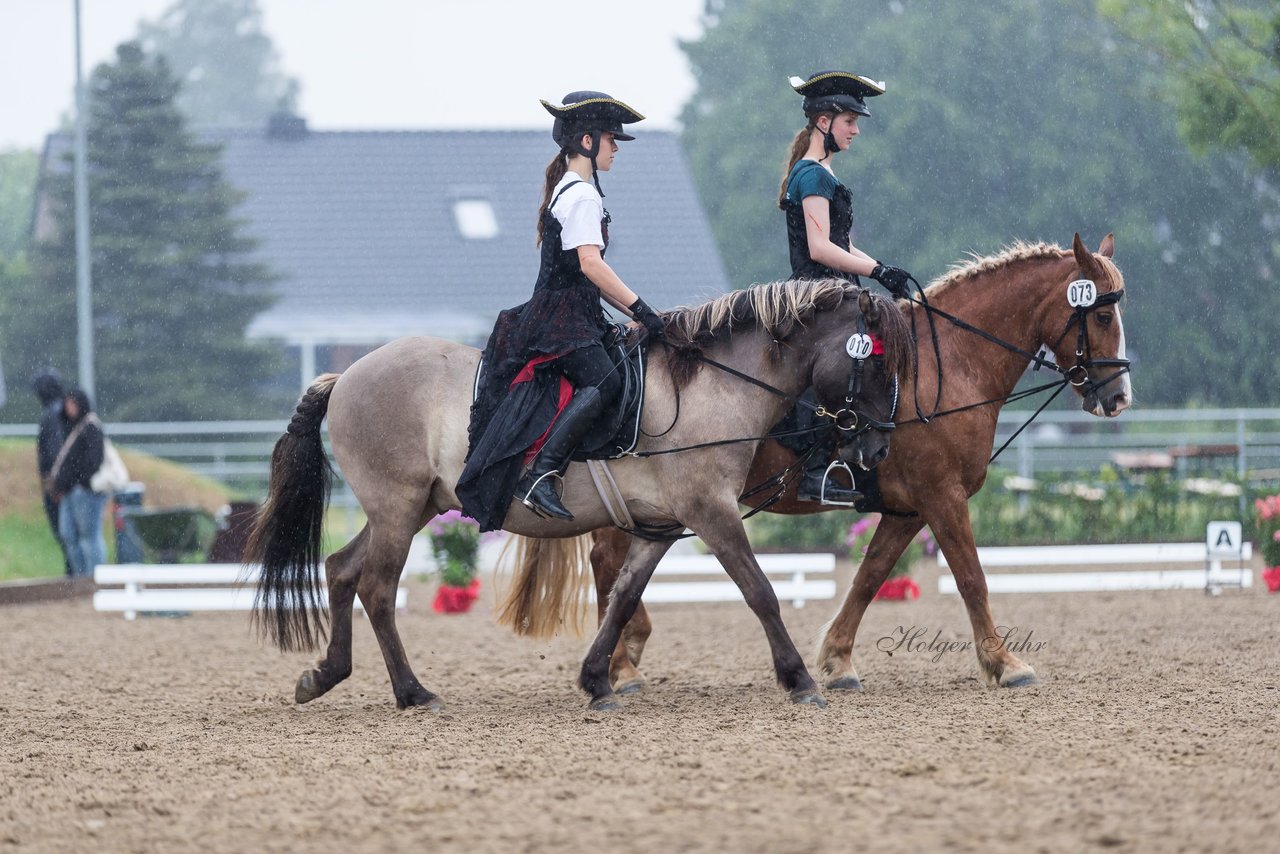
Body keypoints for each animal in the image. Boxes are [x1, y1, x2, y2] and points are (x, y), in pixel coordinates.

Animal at [247, 284, 911, 711]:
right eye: (878, 367)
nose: (878, 448)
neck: (716, 386)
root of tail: (346, 376)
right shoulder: (712, 512)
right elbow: (761, 592)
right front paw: (800, 681)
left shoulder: (660, 527)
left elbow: (622, 599)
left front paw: (597, 683)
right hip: (399, 508)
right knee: (379, 588)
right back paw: (413, 693)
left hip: (412, 509)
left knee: (342, 569)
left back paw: (325, 675)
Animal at [586, 234, 1131, 696]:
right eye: (1103, 317)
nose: (1119, 397)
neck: (948, 367)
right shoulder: (942, 495)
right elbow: (971, 577)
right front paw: (1005, 664)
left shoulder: (908, 508)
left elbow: (871, 575)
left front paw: (838, 660)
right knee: (607, 561)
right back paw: (622, 666)